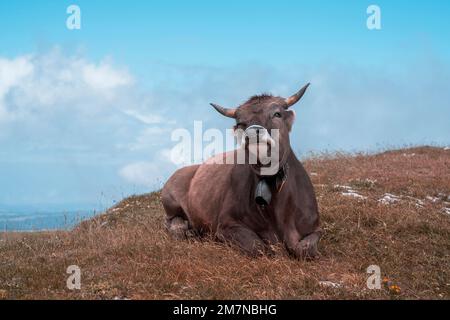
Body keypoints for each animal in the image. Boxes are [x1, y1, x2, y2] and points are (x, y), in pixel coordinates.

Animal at [163, 84, 322, 258]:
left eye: (277, 114)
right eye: (240, 123)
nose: (253, 133)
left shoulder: (313, 226)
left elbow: (305, 249)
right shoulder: (226, 224)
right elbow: (258, 247)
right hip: (170, 199)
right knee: (171, 222)